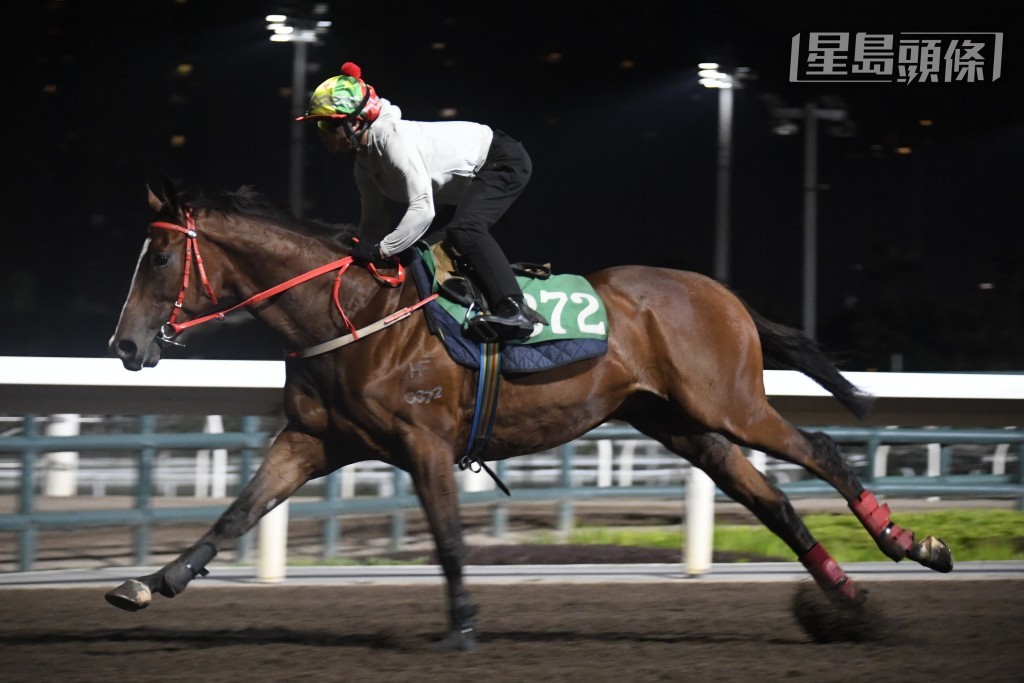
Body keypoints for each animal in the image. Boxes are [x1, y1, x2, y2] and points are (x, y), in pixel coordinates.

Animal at [103, 179, 950, 651]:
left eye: (159, 257)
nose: (125, 344)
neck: (353, 312)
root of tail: (722, 292)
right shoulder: (313, 439)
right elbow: (236, 513)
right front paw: (150, 582)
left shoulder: (424, 444)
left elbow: (448, 540)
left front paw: (463, 626)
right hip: (679, 422)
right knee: (773, 501)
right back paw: (846, 597)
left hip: (729, 401)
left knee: (823, 450)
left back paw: (917, 545)